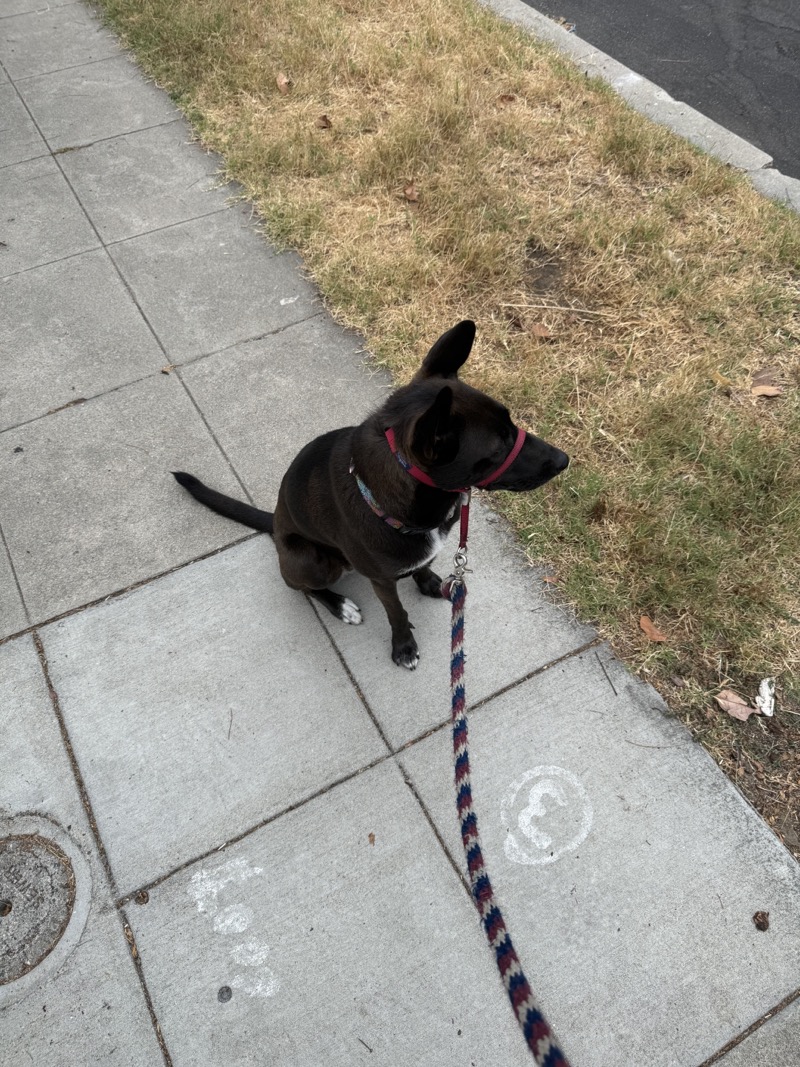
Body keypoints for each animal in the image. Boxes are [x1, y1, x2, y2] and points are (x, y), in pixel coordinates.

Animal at [173, 315, 571, 665]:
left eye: (511, 423)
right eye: (498, 448)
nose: (564, 459)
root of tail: (274, 522)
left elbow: (424, 564)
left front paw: (428, 581)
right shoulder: (381, 580)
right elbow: (396, 612)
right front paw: (403, 646)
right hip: (313, 561)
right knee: (302, 587)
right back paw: (340, 606)